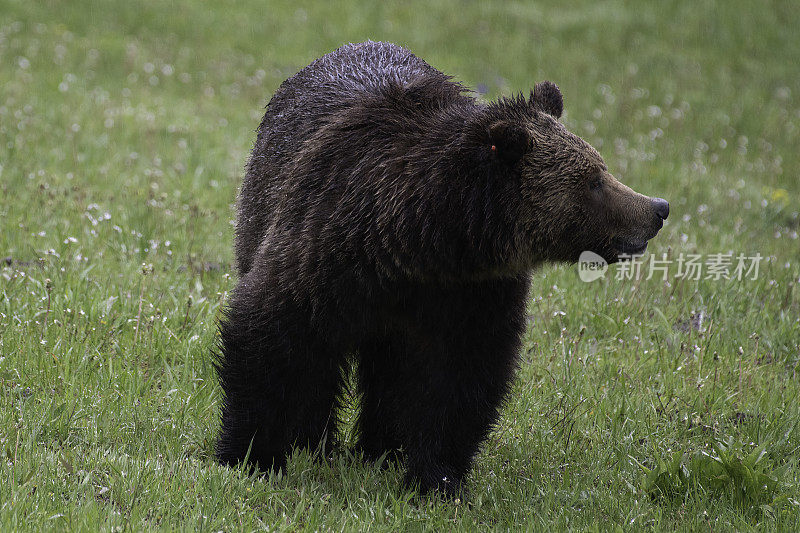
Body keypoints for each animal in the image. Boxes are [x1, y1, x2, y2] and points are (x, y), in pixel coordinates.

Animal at [214, 40, 668, 494]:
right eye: (593, 180)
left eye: (600, 167)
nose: (657, 208)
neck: (416, 243)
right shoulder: (324, 251)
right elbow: (270, 339)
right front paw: (249, 455)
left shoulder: (471, 294)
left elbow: (459, 381)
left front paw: (435, 478)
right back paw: (318, 443)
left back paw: (381, 449)